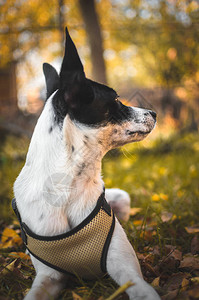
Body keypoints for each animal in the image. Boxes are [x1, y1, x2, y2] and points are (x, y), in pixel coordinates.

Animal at [13, 27, 160, 298]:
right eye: (116, 100)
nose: (154, 113)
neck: (68, 186)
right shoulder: (49, 277)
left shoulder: (125, 269)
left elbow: (143, 290)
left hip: (122, 198)